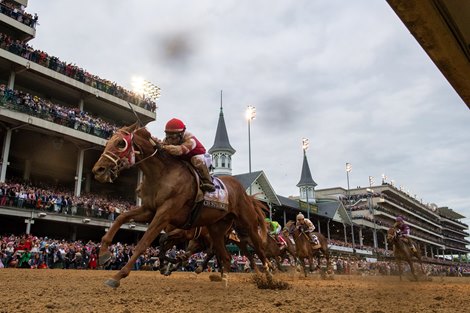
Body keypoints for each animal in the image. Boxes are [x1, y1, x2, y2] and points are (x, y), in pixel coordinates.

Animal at [91, 123, 270, 286]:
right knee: (225, 256)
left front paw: (118, 276)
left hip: (248, 225)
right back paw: (221, 280)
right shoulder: (149, 210)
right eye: (108, 141)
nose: (98, 170)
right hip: (216, 230)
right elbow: (121, 218)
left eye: (120, 143)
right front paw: (104, 254)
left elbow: (144, 243)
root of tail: (244, 192)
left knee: (260, 251)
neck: (162, 174)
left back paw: (269, 279)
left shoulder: (165, 214)